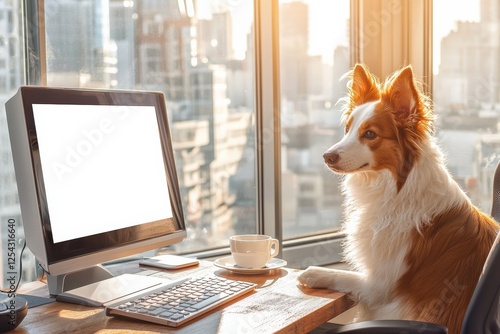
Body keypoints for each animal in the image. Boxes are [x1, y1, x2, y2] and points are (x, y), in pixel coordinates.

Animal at [298, 64, 498, 332]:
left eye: (370, 134)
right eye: (348, 129)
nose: (327, 156)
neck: (397, 189)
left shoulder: (379, 285)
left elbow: (344, 274)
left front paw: (312, 272)